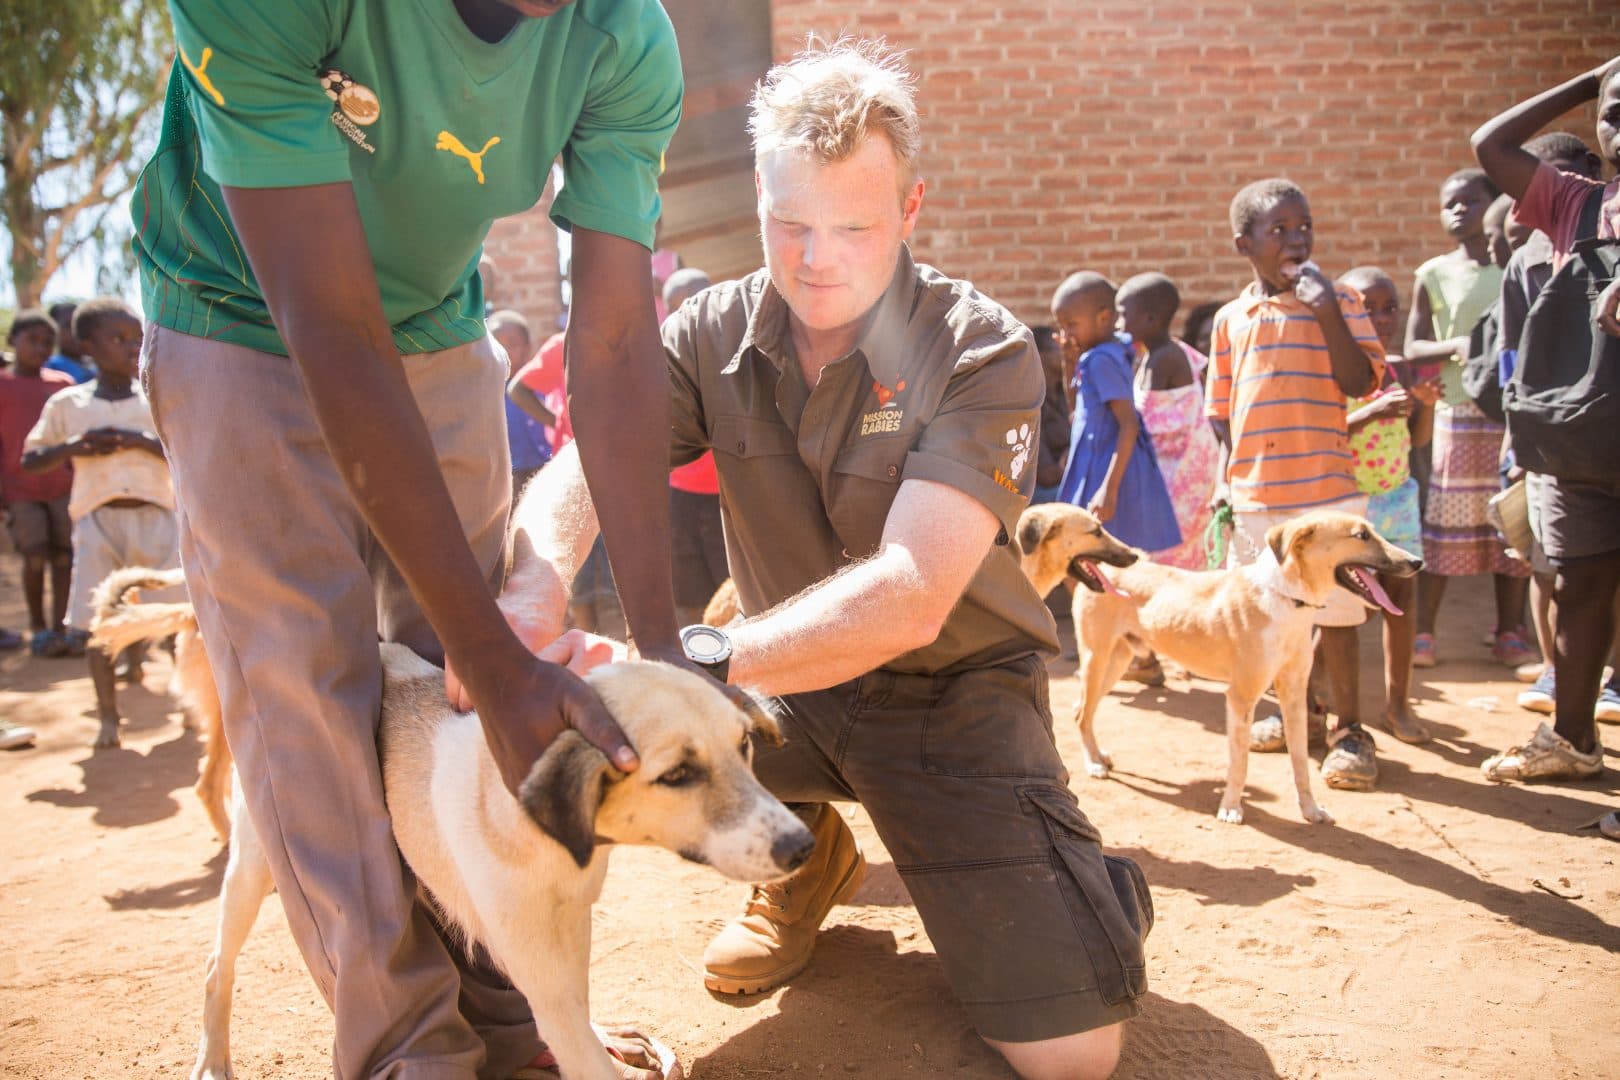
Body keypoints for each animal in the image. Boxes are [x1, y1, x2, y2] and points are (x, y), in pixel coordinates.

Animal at [194, 647, 816, 1075]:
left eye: (744, 746)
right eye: (678, 775)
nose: (801, 846)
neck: (554, 847)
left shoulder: (569, 924)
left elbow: (574, 1009)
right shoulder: (531, 949)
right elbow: (580, 1050)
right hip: (255, 863)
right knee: (217, 965)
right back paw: (214, 1058)